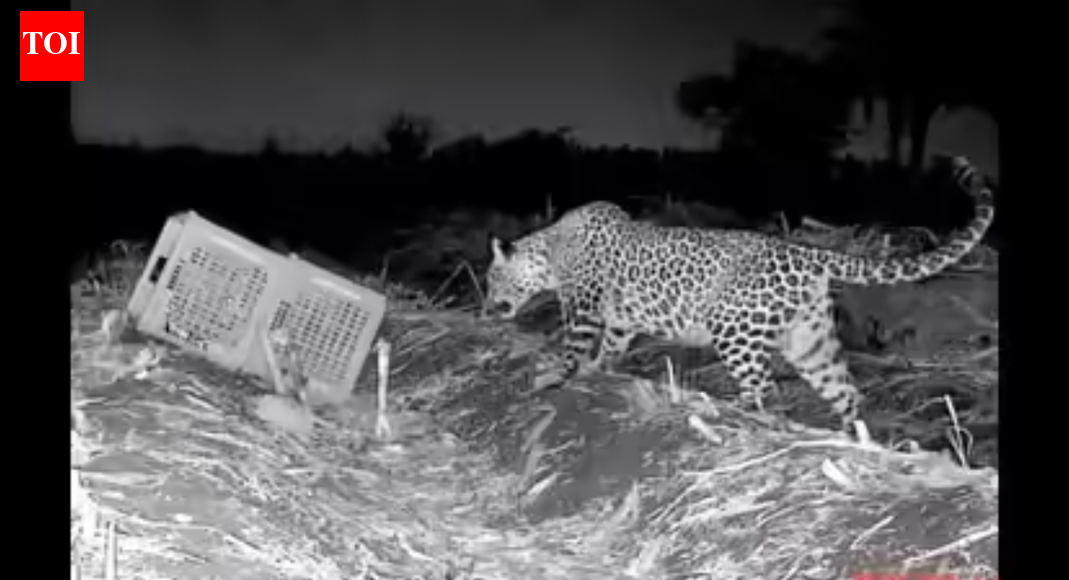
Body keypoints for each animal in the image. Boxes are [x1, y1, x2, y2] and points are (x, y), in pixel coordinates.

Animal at [483, 156, 995, 429]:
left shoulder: (583, 306)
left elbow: (573, 344)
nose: (487, 306)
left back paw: (728, 413)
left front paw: (555, 377)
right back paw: (853, 438)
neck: (550, 249)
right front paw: (596, 371)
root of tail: (806, 251)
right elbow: (610, 346)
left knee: (763, 385)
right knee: (844, 389)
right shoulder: (620, 320)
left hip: (734, 327)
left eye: (490, 281)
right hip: (808, 337)